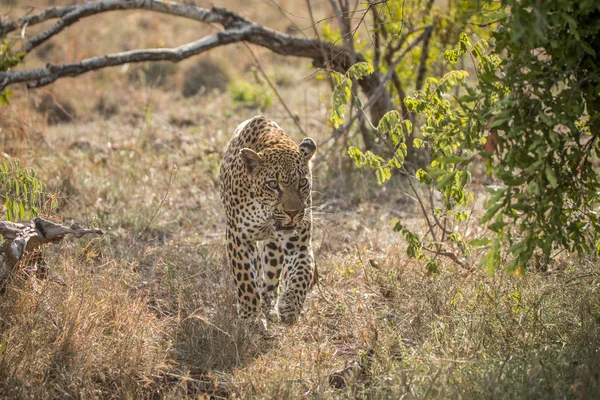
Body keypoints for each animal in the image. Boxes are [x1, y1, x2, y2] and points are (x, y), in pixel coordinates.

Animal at [218, 114, 316, 324]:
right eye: (273, 184)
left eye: (302, 182)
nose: (293, 212)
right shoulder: (238, 237)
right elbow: (246, 280)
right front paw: (250, 318)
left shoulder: (298, 244)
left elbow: (302, 272)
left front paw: (289, 306)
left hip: (274, 248)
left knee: (270, 277)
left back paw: (269, 307)